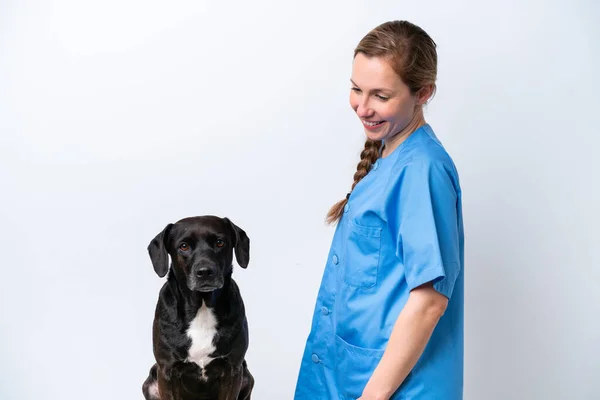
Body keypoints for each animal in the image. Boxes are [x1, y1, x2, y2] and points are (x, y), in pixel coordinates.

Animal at [144, 217, 255, 400]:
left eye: (219, 242)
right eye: (184, 246)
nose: (205, 272)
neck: (202, 307)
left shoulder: (233, 369)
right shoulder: (167, 371)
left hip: (247, 376)